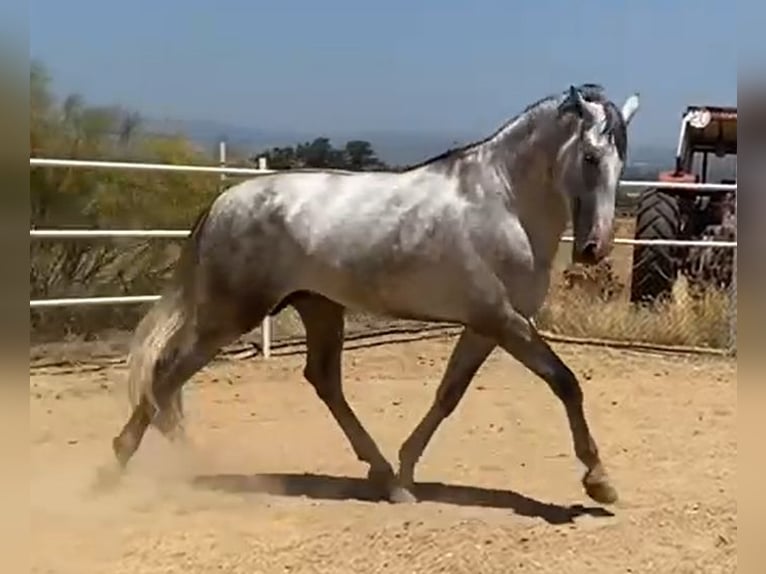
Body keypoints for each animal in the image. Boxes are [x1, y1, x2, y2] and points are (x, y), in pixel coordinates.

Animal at [103, 84, 640, 505]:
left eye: (621, 163)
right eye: (591, 157)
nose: (594, 249)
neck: (503, 203)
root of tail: (221, 203)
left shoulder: (485, 324)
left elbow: (448, 395)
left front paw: (406, 470)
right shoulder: (503, 320)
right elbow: (565, 382)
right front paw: (599, 481)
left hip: (318, 307)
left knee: (321, 380)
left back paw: (383, 475)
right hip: (231, 313)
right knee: (166, 375)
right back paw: (130, 465)